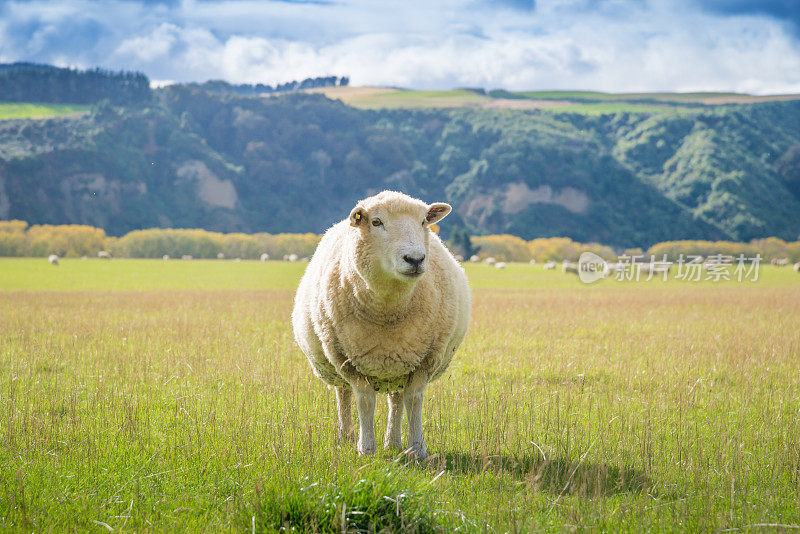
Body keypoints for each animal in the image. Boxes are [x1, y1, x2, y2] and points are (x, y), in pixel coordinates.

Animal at [292, 191, 468, 458]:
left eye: (423, 222)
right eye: (376, 222)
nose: (415, 259)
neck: (388, 310)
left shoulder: (426, 360)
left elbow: (413, 401)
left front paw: (418, 451)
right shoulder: (349, 362)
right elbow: (365, 402)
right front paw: (366, 449)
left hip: (399, 365)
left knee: (396, 400)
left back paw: (392, 443)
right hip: (337, 363)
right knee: (343, 395)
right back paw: (346, 438)